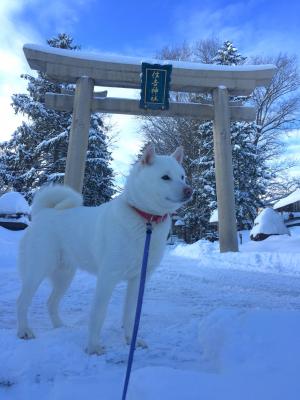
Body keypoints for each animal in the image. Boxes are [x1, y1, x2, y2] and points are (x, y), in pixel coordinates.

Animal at [17, 145, 192, 354]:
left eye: (182, 176)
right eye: (165, 177)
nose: (189, 190)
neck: (146, 220)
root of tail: (44, 212)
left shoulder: (139, 279)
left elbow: (130, 314)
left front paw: (131, 341)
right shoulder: (107, 277)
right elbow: (98, 314)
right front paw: (93, 347)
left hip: (64, 276)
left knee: (51, 302)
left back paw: (60, 326)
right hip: (37, 270)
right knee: (22, 301)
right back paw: (24, 331)